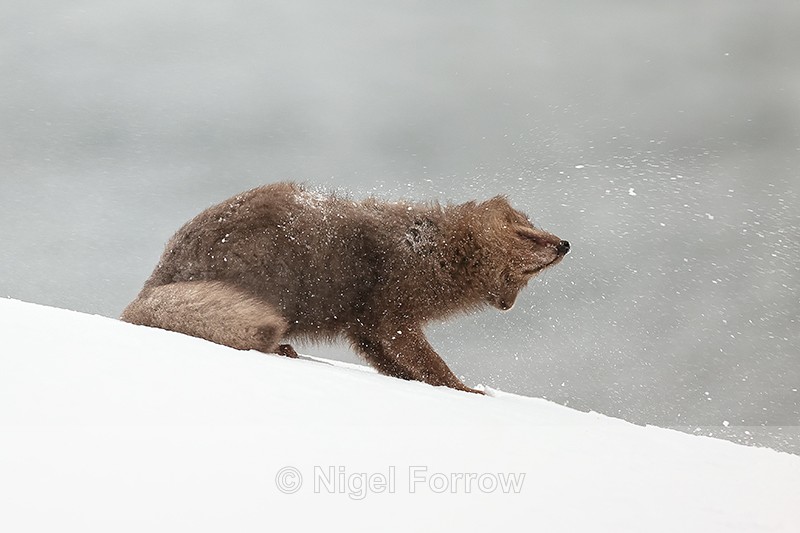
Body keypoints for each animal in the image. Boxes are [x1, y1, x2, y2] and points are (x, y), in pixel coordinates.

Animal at [121, 182, 570, 394]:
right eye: (527, 235)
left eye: (539, 230)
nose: (565, 244)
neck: (429, 252)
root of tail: (156, 280)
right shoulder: (394, 314)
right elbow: (431, 363)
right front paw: (467, 391)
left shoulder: (365, 327)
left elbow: (395, 366)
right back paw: (282, 348)